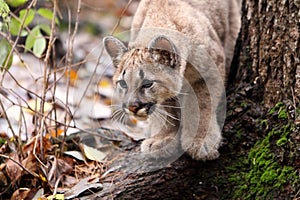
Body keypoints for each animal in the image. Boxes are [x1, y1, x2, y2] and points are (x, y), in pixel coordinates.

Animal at [103, 0, 241, 159]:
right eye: (123, 83)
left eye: (147, 84)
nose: (132, 107)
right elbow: (166, 109)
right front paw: (162, 138)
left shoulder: (210, 72)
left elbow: (201, 105)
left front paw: (201, 140)